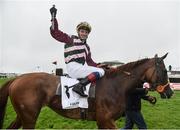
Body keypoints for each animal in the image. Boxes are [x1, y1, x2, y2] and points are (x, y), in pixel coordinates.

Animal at [0, 53, 174, 128]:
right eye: (165, 71)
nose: (170, 92)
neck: (116, 85)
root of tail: (17, 79)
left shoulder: (102, 122)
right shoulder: (105, 120)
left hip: (23, 115)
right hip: (29, 117)